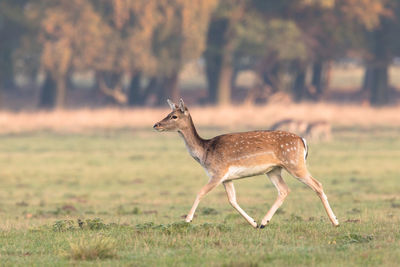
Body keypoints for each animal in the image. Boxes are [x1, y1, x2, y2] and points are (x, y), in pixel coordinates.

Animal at [152, 99, 338, 229]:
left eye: (174, 116)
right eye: (168, 112)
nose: (156, 124)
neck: (205, 152)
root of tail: (302, 140)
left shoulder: (218, 172)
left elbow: (200, 192)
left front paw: (188, 219)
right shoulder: (227, 178)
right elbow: (232, 200)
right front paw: (253, 223)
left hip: (295, 163)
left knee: (317, 185)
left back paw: (335, 221)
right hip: (273, 170)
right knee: (284, 190)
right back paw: (263, 222)